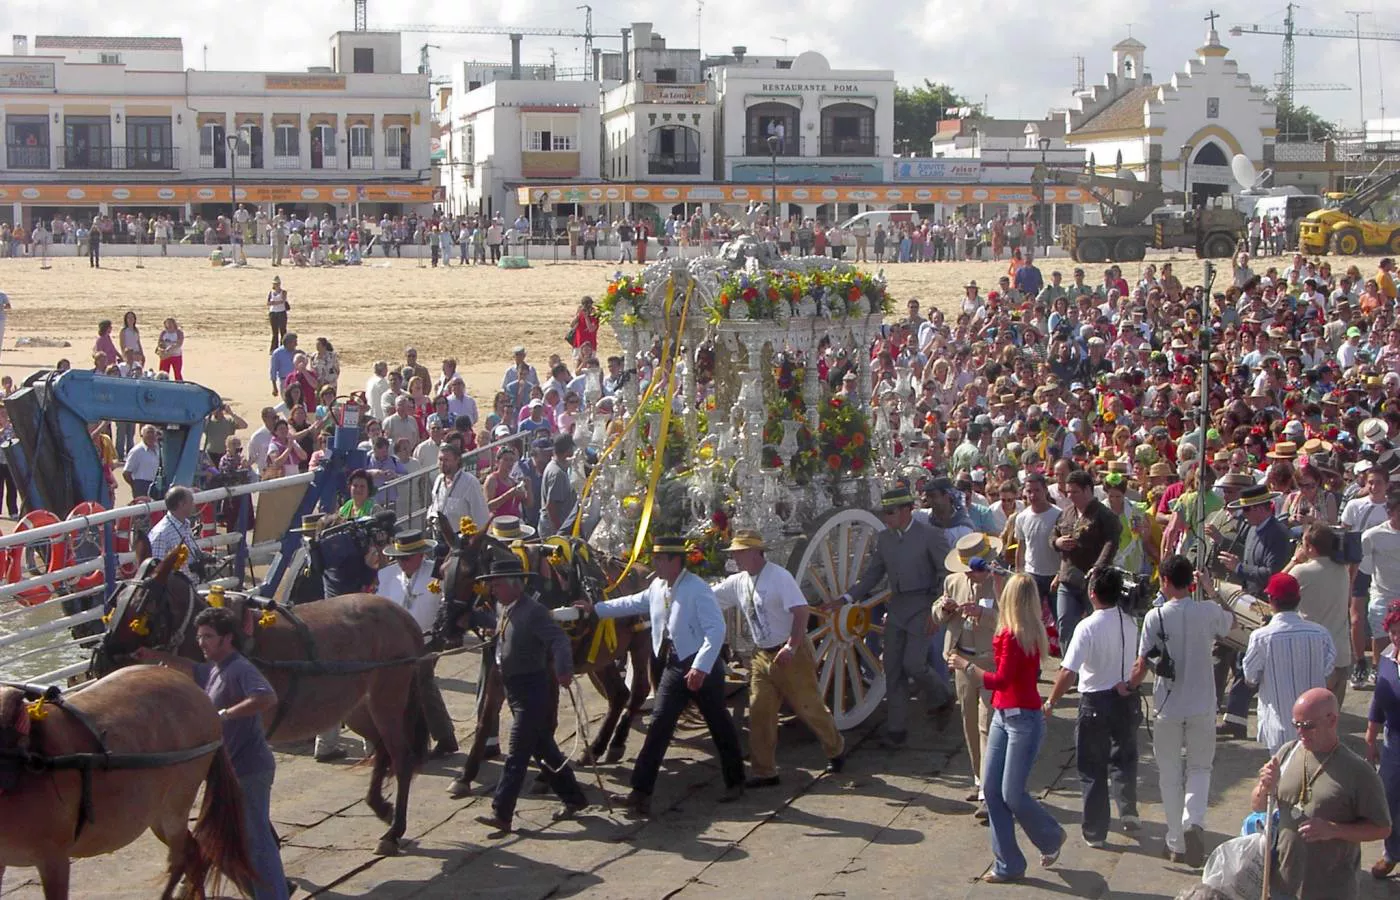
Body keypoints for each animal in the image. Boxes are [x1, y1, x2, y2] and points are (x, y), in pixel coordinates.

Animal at [0, 666, 254, 900]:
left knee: (180, 857)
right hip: (155, 813)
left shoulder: (54, 859)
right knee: (193, 851)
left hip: (176, 804)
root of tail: (199, 693)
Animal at [92, 545, 425, 856]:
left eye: (142, 606)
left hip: (387, 697)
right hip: (358, 707)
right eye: (115, 602)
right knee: (382, 748)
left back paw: (394, 830)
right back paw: (380, 805)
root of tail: (401, 614)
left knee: (401, 755)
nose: (102, 658)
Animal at [434, 529, 652, 795]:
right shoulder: (499, 666)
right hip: (602, 655)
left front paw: (546, 775)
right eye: (442, 570)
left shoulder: (551, 669)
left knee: (639, 690)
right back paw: (597, 747)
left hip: (641, 644)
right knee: (619, 694)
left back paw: (617, 743)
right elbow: (485, 719)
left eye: (469, 574)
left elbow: (548, 721)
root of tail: (645, 570)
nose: (445, 626)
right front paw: (465, 775)